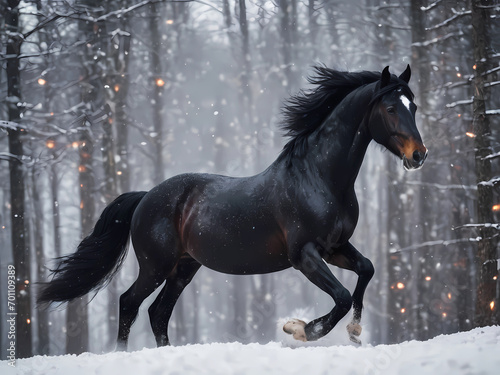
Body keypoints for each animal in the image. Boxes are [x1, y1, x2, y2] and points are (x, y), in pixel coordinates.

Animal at [39, 64, 428, 350]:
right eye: (390, 108)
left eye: (414, 106)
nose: (418, 155)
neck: (318, 177)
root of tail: (145, 196)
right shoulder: (304, 254)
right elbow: (343, 296)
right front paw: (299, 329)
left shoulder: (335, 247)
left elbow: (366, 270)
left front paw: (354, 331)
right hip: (155, 266)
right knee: (129, 303)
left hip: (183, 268)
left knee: (157, 313)